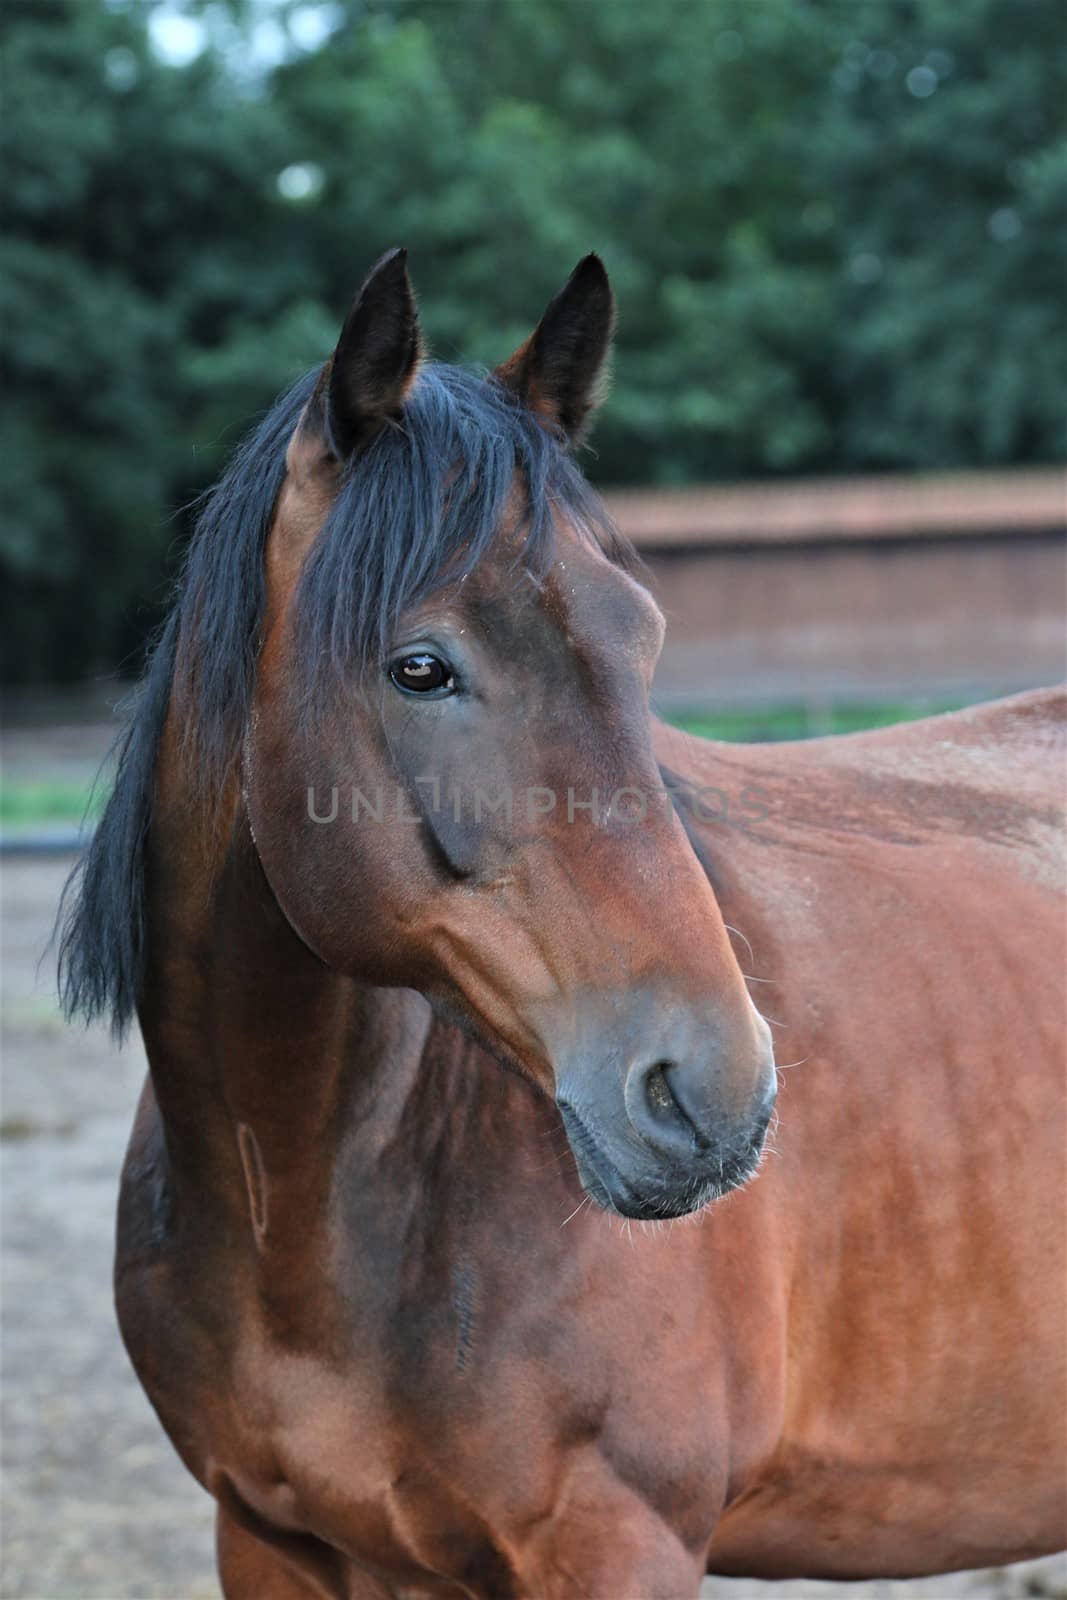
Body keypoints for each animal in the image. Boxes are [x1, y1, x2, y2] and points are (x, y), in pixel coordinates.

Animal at [62, 252, 1062, 1600]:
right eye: (419, 667)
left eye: (641, 635)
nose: (712, 1095)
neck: (302, 1208)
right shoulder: (267, 1540)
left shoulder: (617, 1541)